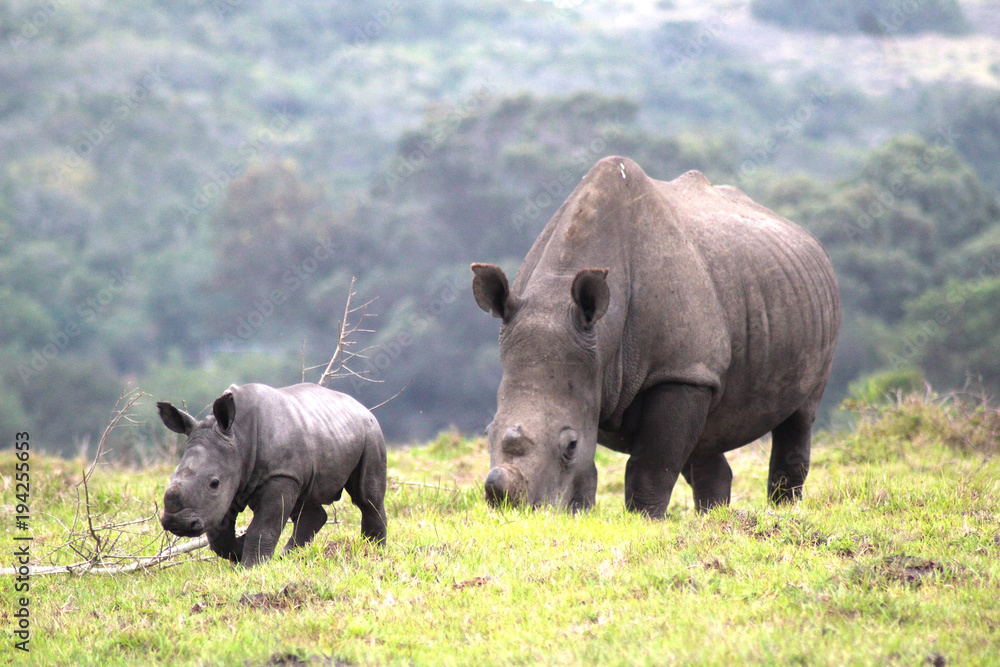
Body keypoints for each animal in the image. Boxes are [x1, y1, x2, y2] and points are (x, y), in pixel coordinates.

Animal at [157, 383, 387, 567]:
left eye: (214, 483)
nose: (176, 523)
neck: (238, 438)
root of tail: (360, 405)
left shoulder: (280, 475)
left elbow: (264, 526)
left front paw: (251, 567)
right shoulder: (234, 480)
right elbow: (218, 534)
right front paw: (241, 551)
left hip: (371, 431)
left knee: (367, 498)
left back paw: (373, 551)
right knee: (304, 501)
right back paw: (289, 556)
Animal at [472, 156, 840, 517]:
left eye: (570, 445)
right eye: (488, 432)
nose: (513, 511)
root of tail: (808, 236)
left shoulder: (679, 370)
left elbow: (652, 463)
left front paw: (644, 520)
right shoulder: (605, 373)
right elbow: (595, 468)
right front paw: (580, 516)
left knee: (799, 418)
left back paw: (785, 512)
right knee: (706, 435)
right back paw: (712, 517)